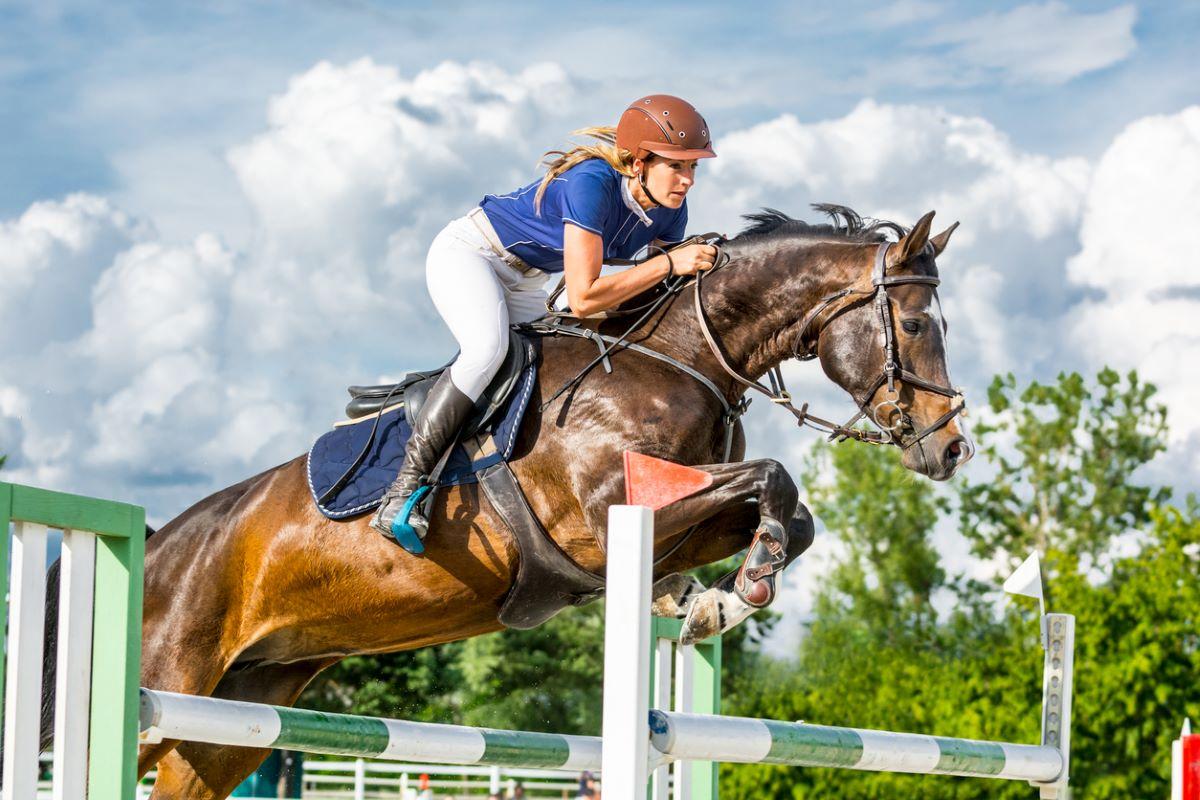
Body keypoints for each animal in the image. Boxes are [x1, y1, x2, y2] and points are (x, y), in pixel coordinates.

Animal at [70, 205, 974, 796]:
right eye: (918, 324)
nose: (950, 446)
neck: (680, 357)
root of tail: (160, 541)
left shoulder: (678, 518)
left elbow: (785, 509)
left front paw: (704, 601)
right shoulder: (605, 521)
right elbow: (774, 480)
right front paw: (739, 590)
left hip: (233, 718)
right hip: (166, 685)